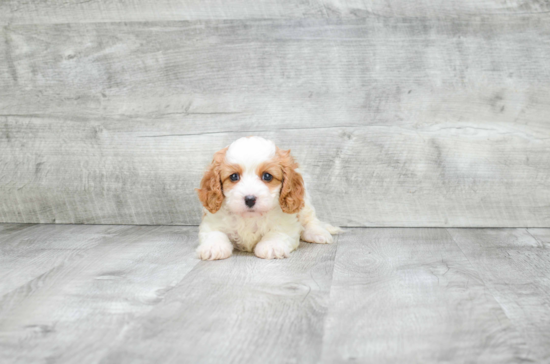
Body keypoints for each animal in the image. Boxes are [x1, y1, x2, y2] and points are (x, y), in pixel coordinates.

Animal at [196, 136, 342, 258]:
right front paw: (213, 247)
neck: (250, 217)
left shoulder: (287, 222)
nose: (250, 199)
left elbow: (278, 232)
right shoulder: (212, 221)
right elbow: (215, 233)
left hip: (305, 205)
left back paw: (317, 233)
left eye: (267, 176)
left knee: (311, 220)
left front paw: (272, 246)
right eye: (233, 177)